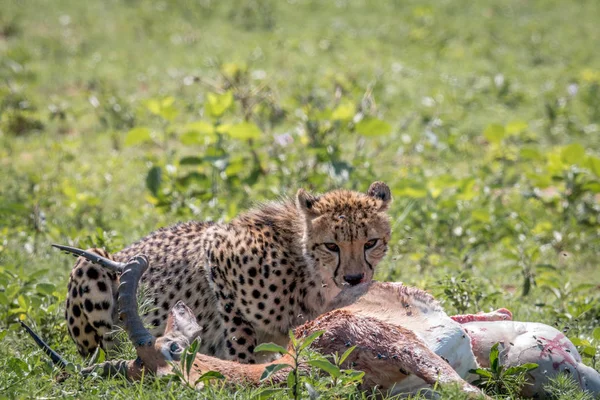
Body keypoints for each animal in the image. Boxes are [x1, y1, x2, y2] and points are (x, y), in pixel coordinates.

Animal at [65, 183, 394, 364]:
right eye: (331, 245)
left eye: (370, 242)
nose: (355, 278)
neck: (309, 272)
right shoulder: (217, 250)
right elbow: (240, 337)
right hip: (90, 264)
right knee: (103, 351)